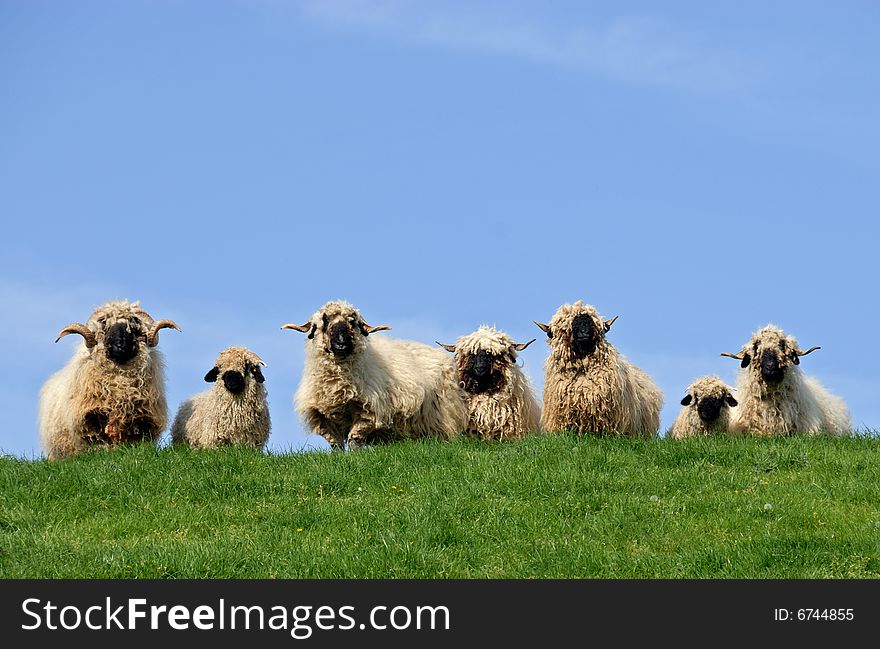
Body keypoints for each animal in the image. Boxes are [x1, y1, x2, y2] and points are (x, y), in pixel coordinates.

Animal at [38, 300, 180, 458]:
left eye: (133, 327)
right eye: (105, 327)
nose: (120, 346)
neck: (120, 384)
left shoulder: (141, 420)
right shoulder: (92, 417)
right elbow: (99, 438)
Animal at [286, 300, 470, 448]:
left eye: (353, 322)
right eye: (325, 321)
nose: (341, 343)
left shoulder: (368, 411)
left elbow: (354, 440)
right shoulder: (321, 417)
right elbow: (336, 445)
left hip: (443, 416)